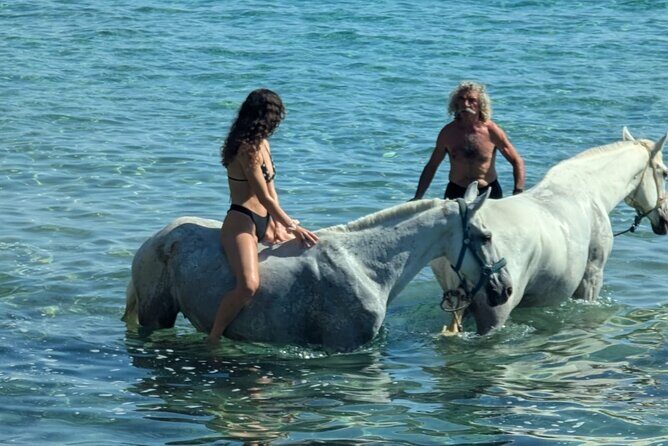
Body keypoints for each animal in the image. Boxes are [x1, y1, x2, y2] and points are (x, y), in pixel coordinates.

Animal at [122, 192, 512, 352]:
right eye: (486, 235)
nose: (504, 289)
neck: (365, 265)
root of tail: (155, 239)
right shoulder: (345, 346)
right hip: (156, 315)